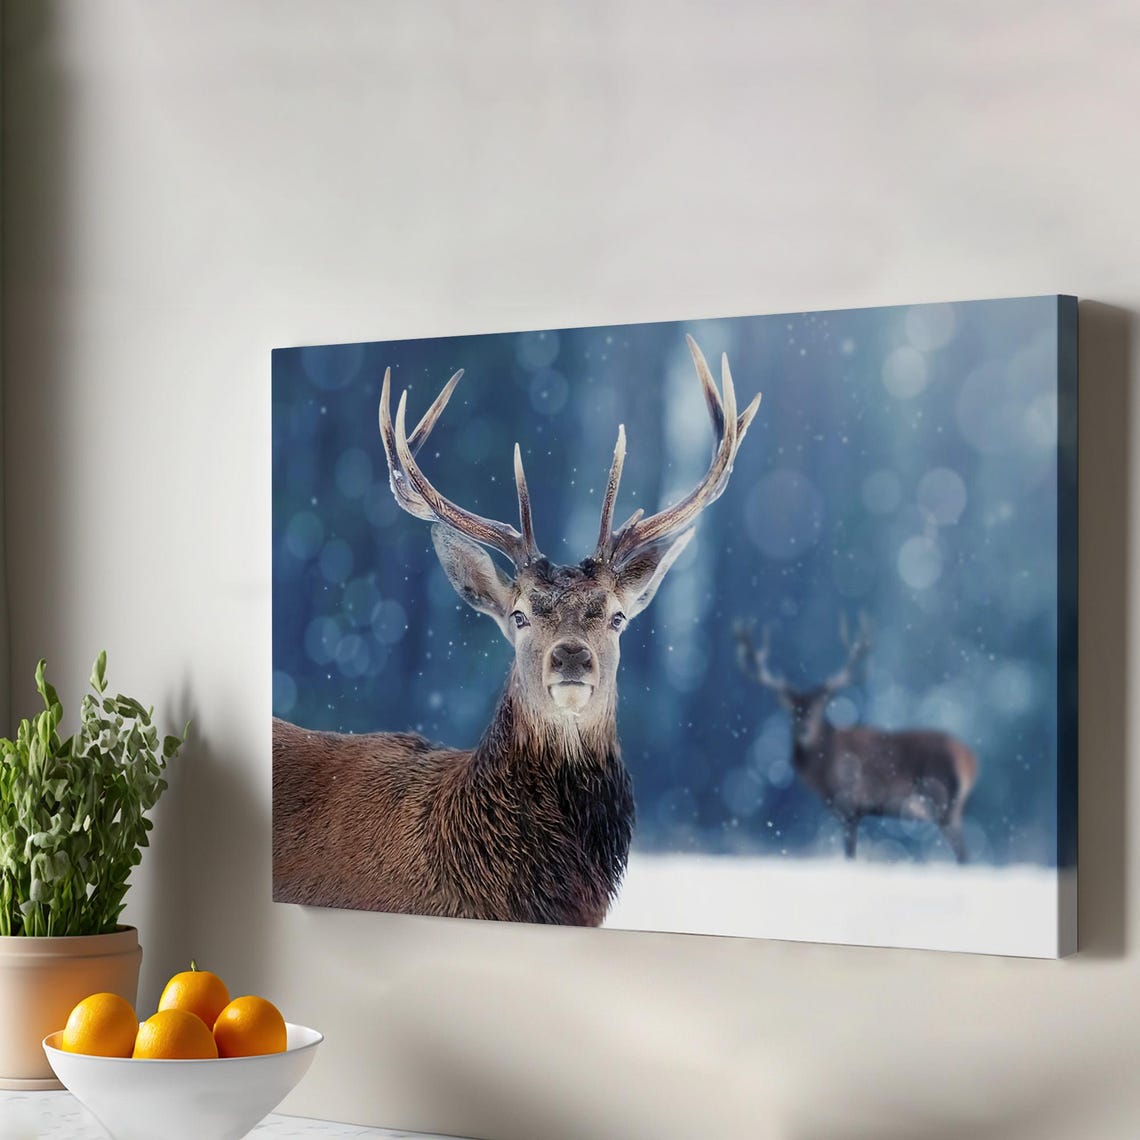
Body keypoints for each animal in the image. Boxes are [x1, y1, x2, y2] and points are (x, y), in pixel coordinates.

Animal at [734, 616, 978, 863]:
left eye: (819, 707)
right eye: (793, 710)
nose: (803, 728)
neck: (822, 773)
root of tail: (971, 761)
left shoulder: (849, 803)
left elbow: (850, 853)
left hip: (944, 801)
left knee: (964, 853)